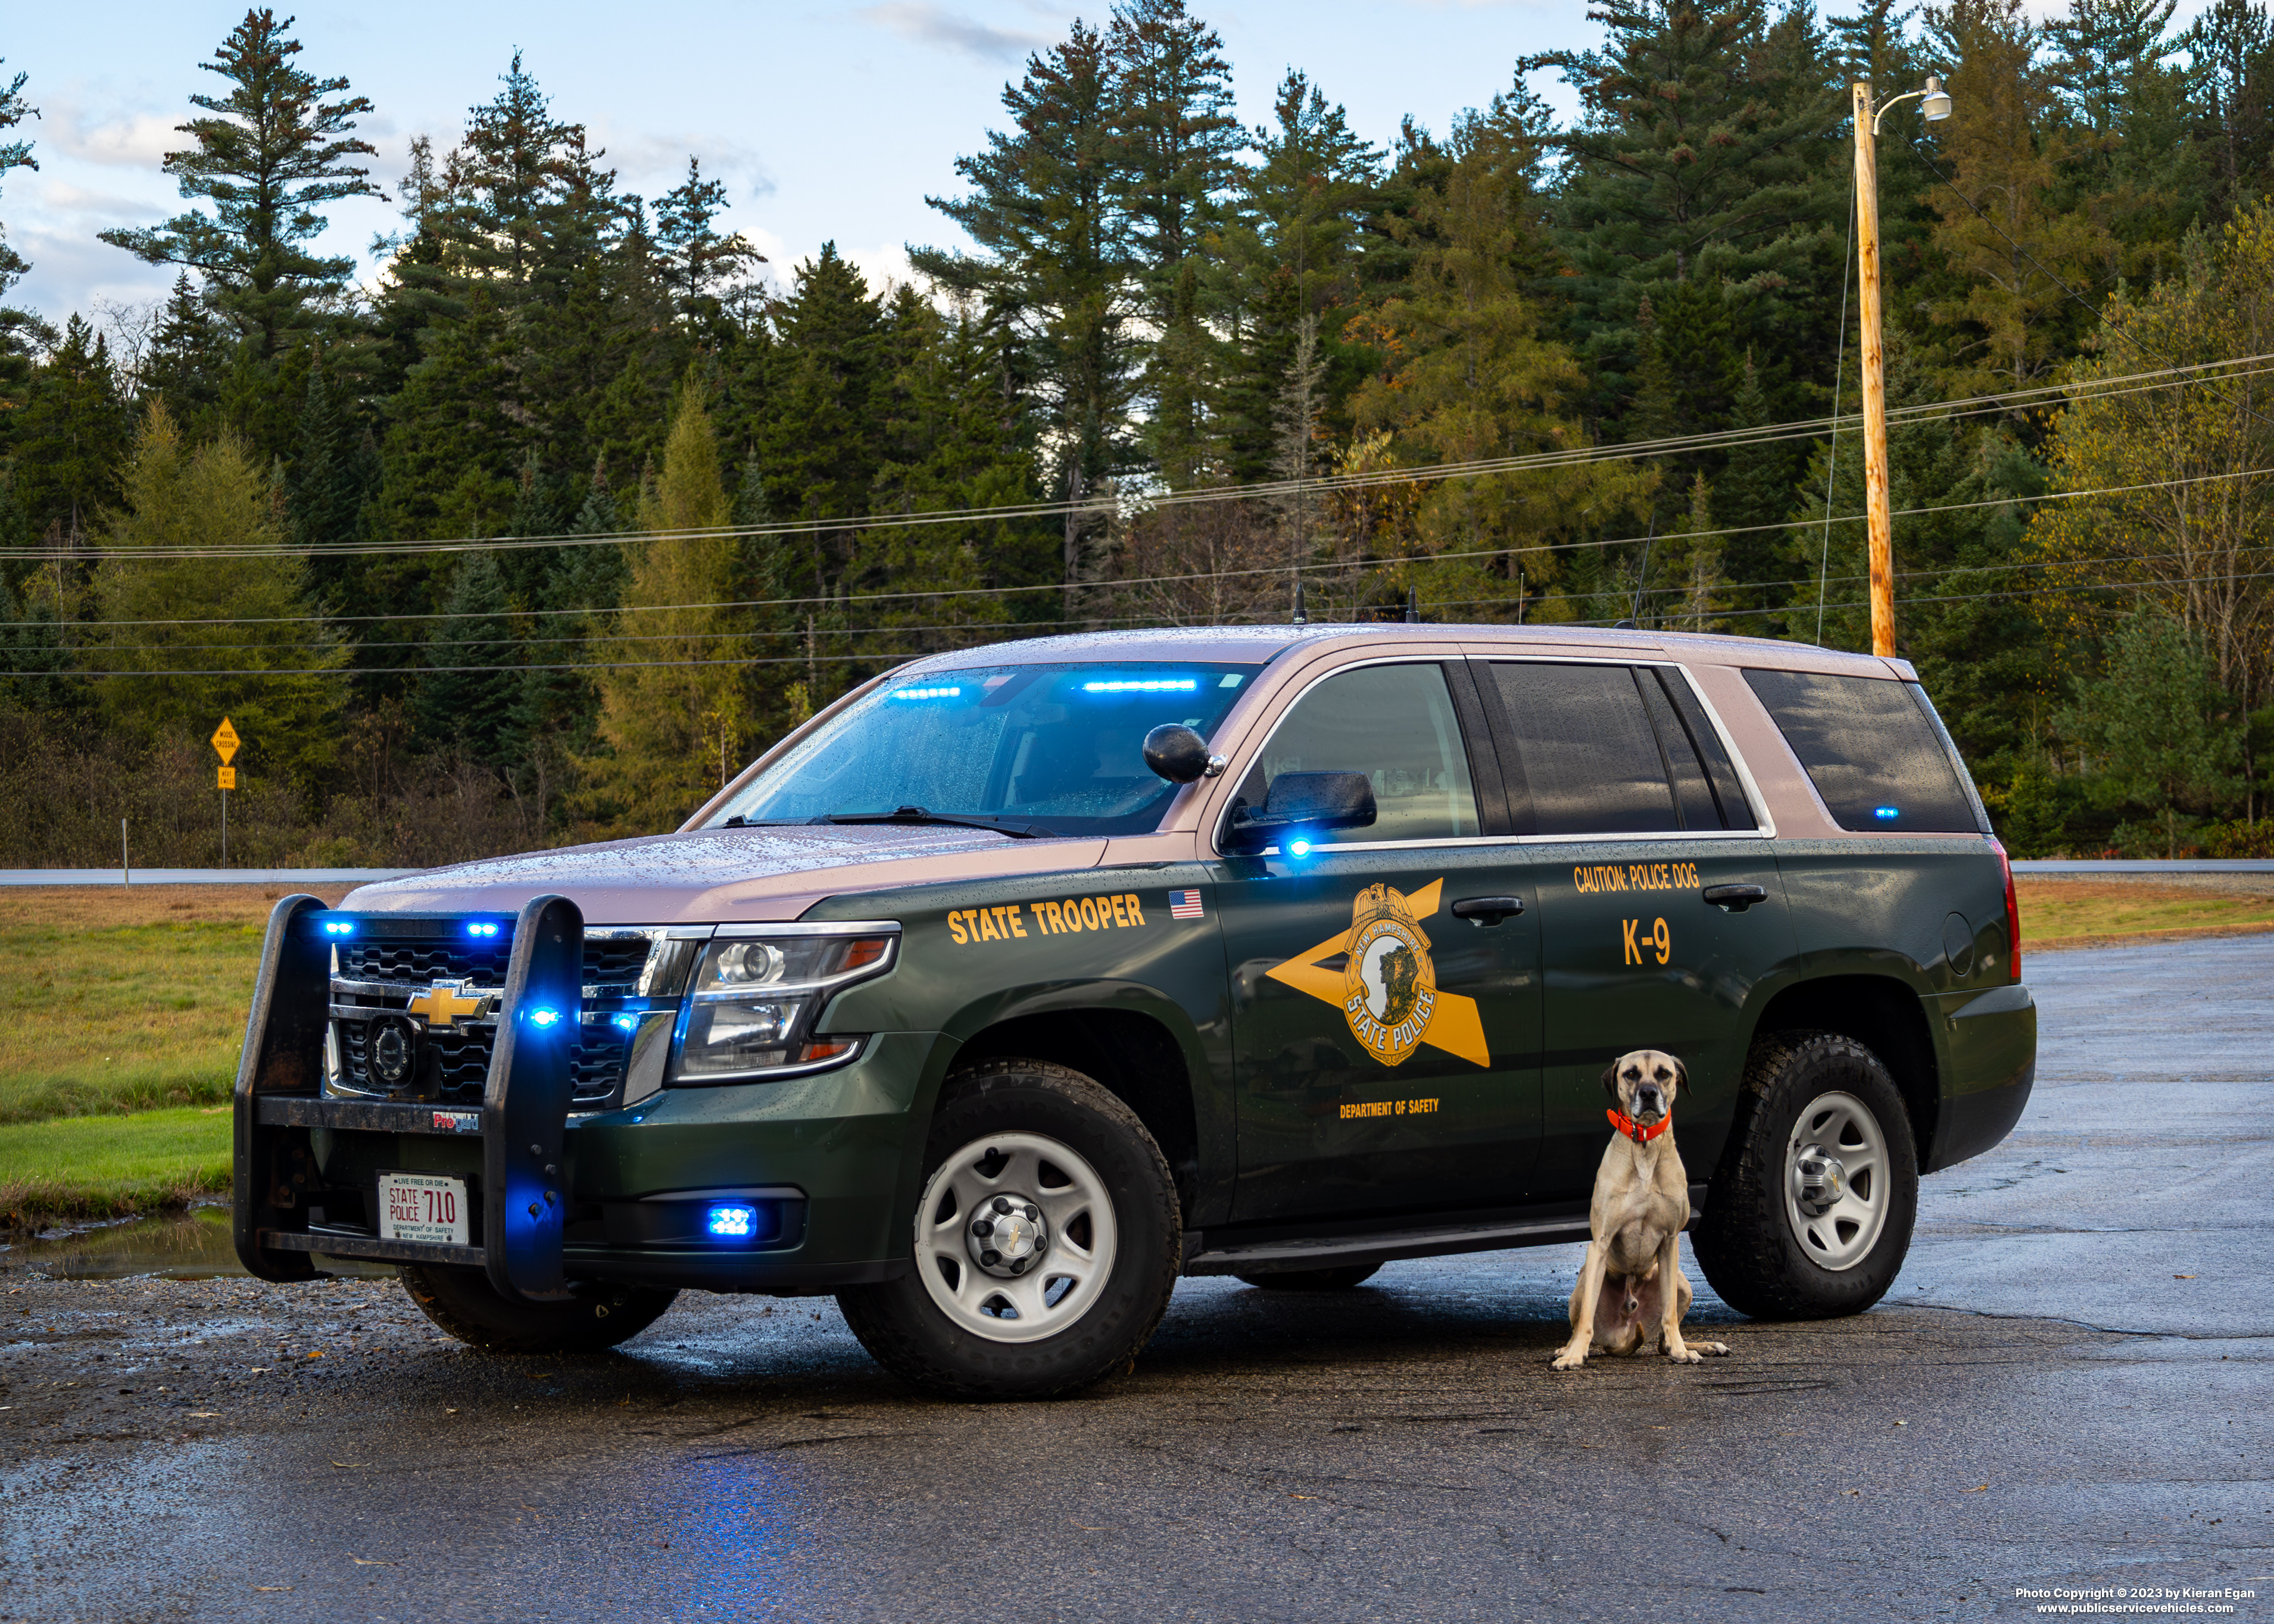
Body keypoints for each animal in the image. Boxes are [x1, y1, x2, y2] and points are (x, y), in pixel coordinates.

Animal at [1555, 1051, 1728, 1364]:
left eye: (1664, 1074)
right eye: (1631, 1074)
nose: (1649, 1093)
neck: (1646, 1143)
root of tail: (1624, 1331)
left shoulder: (1670, 1242)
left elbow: (1669, 1314)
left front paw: (1680, 1351)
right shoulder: (1601, 1242)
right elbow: (1586, 1318)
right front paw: (1573, 1357)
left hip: (1682, 1283)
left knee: (1661, 1341)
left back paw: (1698, 1346)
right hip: (1585, 1280)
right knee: (1580, 1322)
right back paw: (1570, 1348)